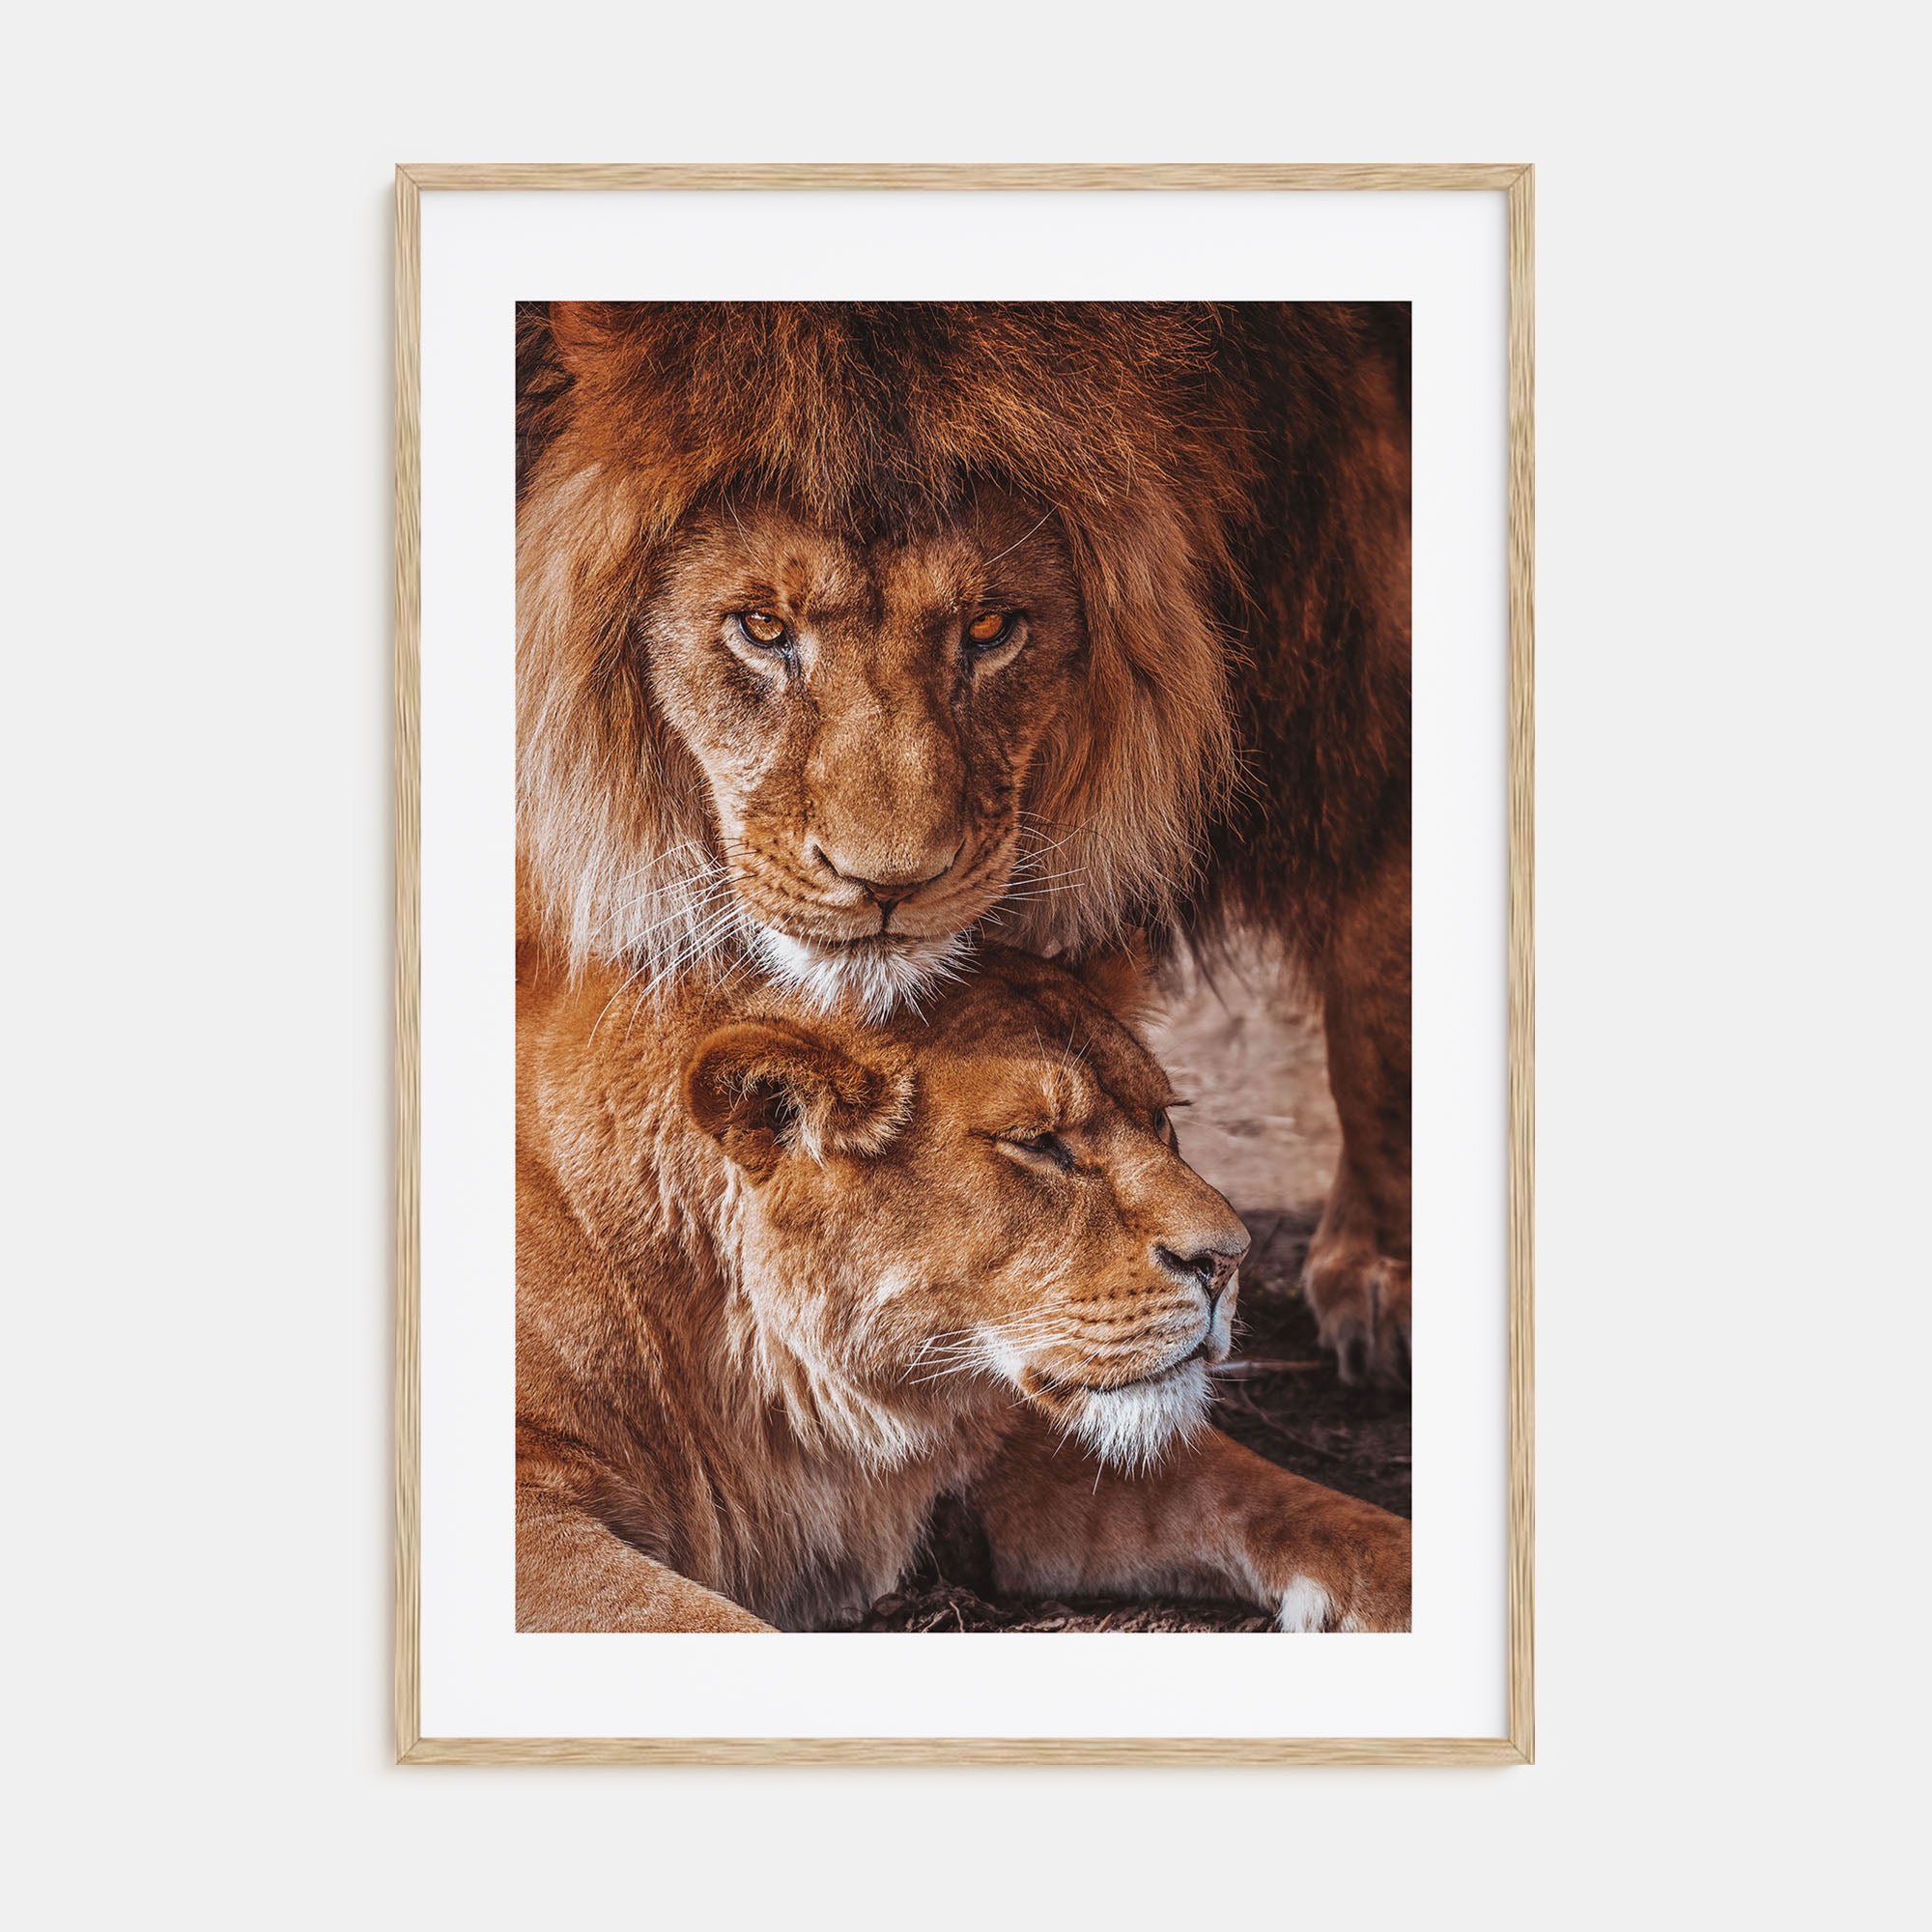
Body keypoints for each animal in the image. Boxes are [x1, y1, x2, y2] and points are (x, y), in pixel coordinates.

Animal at [517, 942, 1411, 1633]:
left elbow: (1301, 1505)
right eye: (1039, 1142)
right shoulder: (533, 1517)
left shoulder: (1009, 1439)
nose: (1230, 1259)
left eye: (1162, 1119)